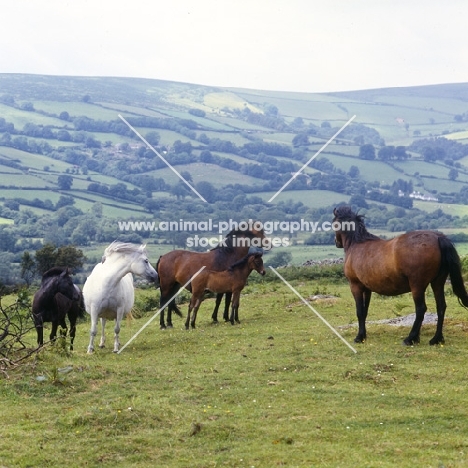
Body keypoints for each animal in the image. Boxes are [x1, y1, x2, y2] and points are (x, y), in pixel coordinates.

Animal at [332, 207, 468, 346]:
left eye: (334, 222)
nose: (336, 242)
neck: (356, 245)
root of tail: (438, 237)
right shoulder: (367, 289)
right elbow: (365, 312)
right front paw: (363, 335)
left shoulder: (355, 286)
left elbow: (359, 311)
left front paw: (359, 337)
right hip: (437, 283)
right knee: (441, 307)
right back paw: (436, 339)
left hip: (417, 285)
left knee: (421, 309)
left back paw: (410, 338)